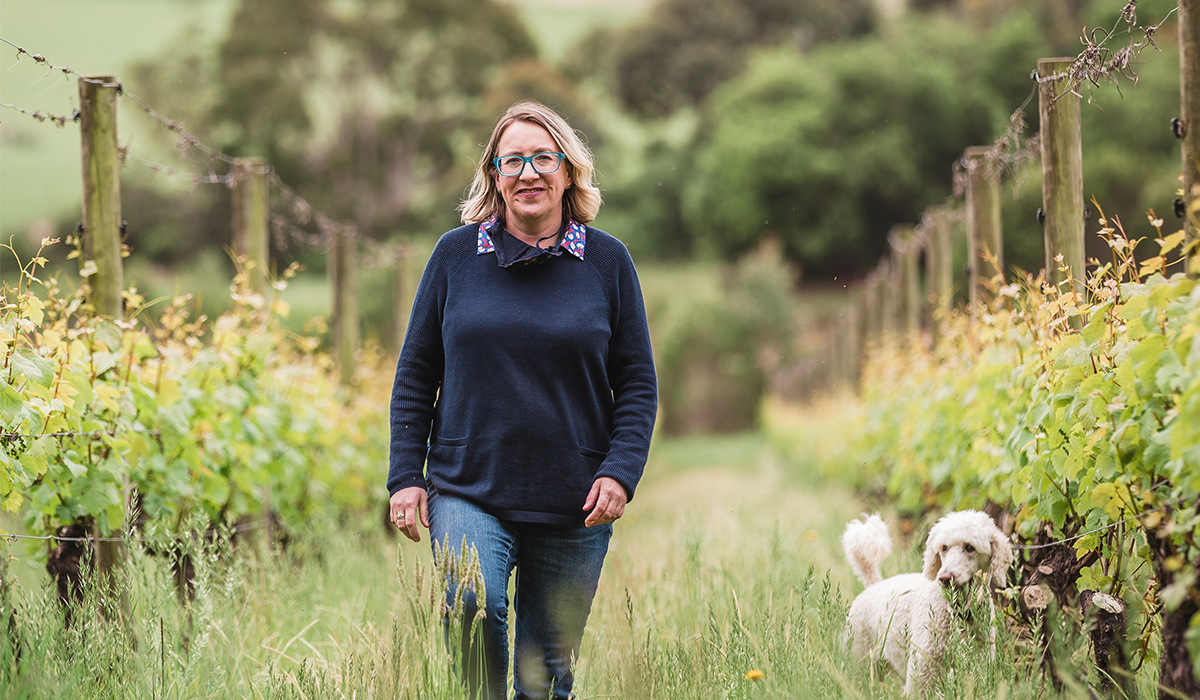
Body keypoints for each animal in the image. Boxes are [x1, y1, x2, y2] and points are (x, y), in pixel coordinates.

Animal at [844, 509, 1012, 696]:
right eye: (944, 547)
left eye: (969, 547)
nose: (944, 578)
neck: (957, 612)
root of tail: (874, 584)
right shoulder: (923, 668)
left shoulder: (978, 664)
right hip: (858, 656)